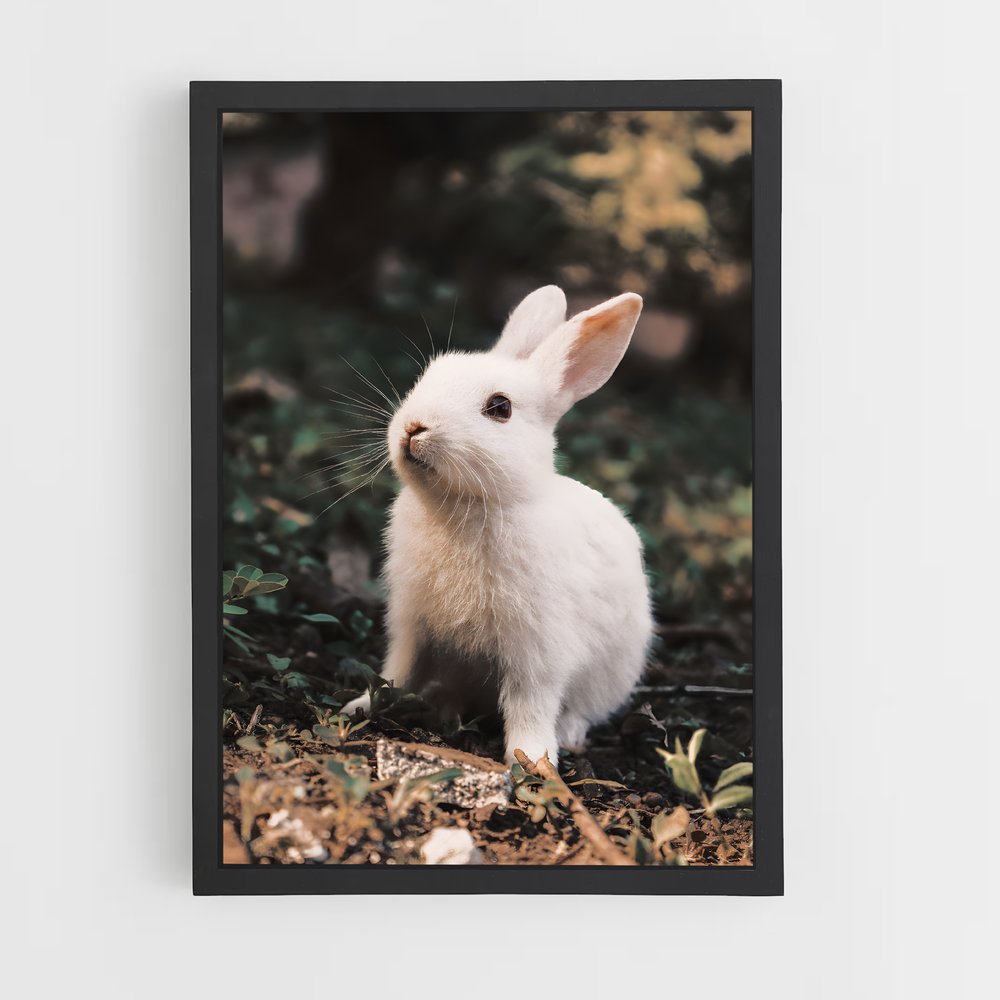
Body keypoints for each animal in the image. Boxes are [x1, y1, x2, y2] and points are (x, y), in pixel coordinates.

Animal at [342, 286, 654, 767]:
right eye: (429, 376)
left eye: (500, 408)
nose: (414, 427)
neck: (468, 506)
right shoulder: (411, 623)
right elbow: (397, 670)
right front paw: (360, 706)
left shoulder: (538, 649)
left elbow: (531, 702)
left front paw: (533, 760)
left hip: (612, 672)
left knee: (582, 709)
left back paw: (569, 736)